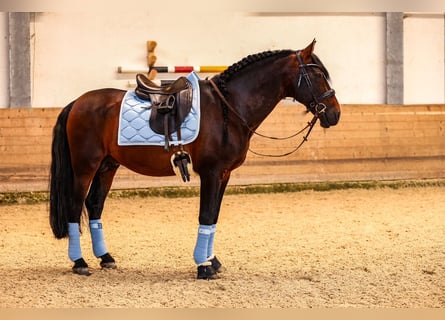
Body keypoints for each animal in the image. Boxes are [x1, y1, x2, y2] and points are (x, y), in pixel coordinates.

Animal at [48, 40, 340, 278]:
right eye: (317, 74)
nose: (335, 113)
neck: (228, 109)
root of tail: (77, 103)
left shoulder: (224, 175)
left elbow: (213, 218)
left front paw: (212, 261)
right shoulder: (211, 173)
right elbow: (206, 214)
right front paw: (203, 266)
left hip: (108, 166)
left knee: (94, 205)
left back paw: (105, 258)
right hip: (85, 167)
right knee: (75, 206)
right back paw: (79, 262)